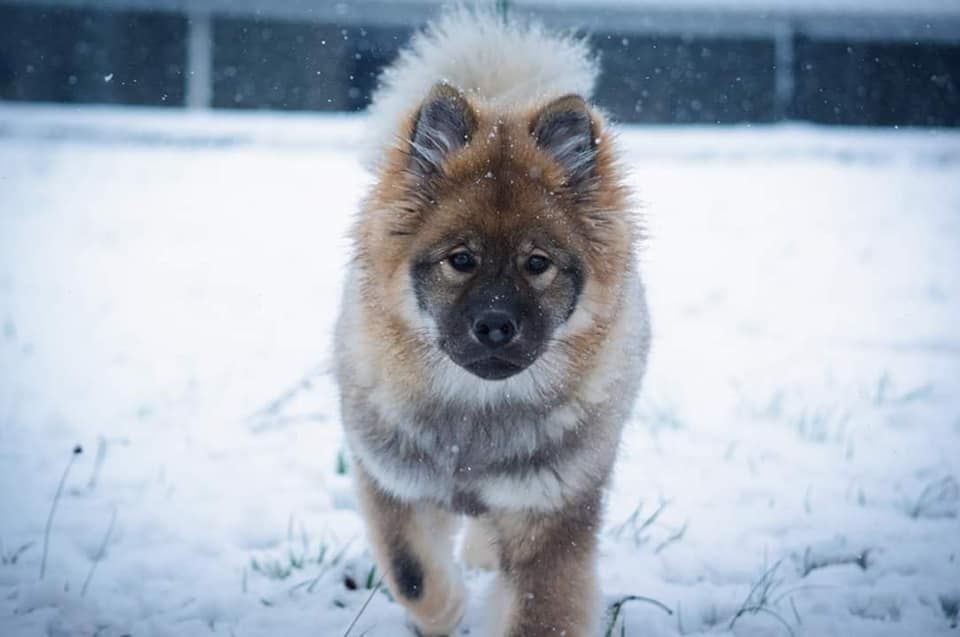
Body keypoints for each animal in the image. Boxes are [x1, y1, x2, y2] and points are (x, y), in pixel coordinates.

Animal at [334, 9, 648, 636]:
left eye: (537, 263)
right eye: (462, 260)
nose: (496, 325)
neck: (473, 420)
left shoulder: (551, 512)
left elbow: (541, 611)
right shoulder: (392, 478)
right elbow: (411, 572)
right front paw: (446, 611)